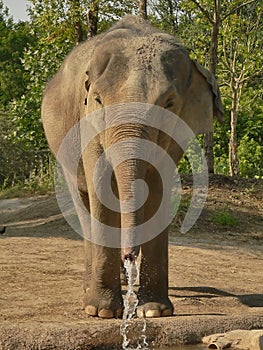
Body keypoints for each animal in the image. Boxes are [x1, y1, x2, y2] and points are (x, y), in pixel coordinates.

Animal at [40, 15, 223, 318]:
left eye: (169, 103)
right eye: (98, 100)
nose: (129, 255)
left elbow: (159, 189)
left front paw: (153, 311)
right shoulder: (87, 123)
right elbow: (101, 188)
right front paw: (102, 312)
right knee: (84, 205)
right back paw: (90, 290)